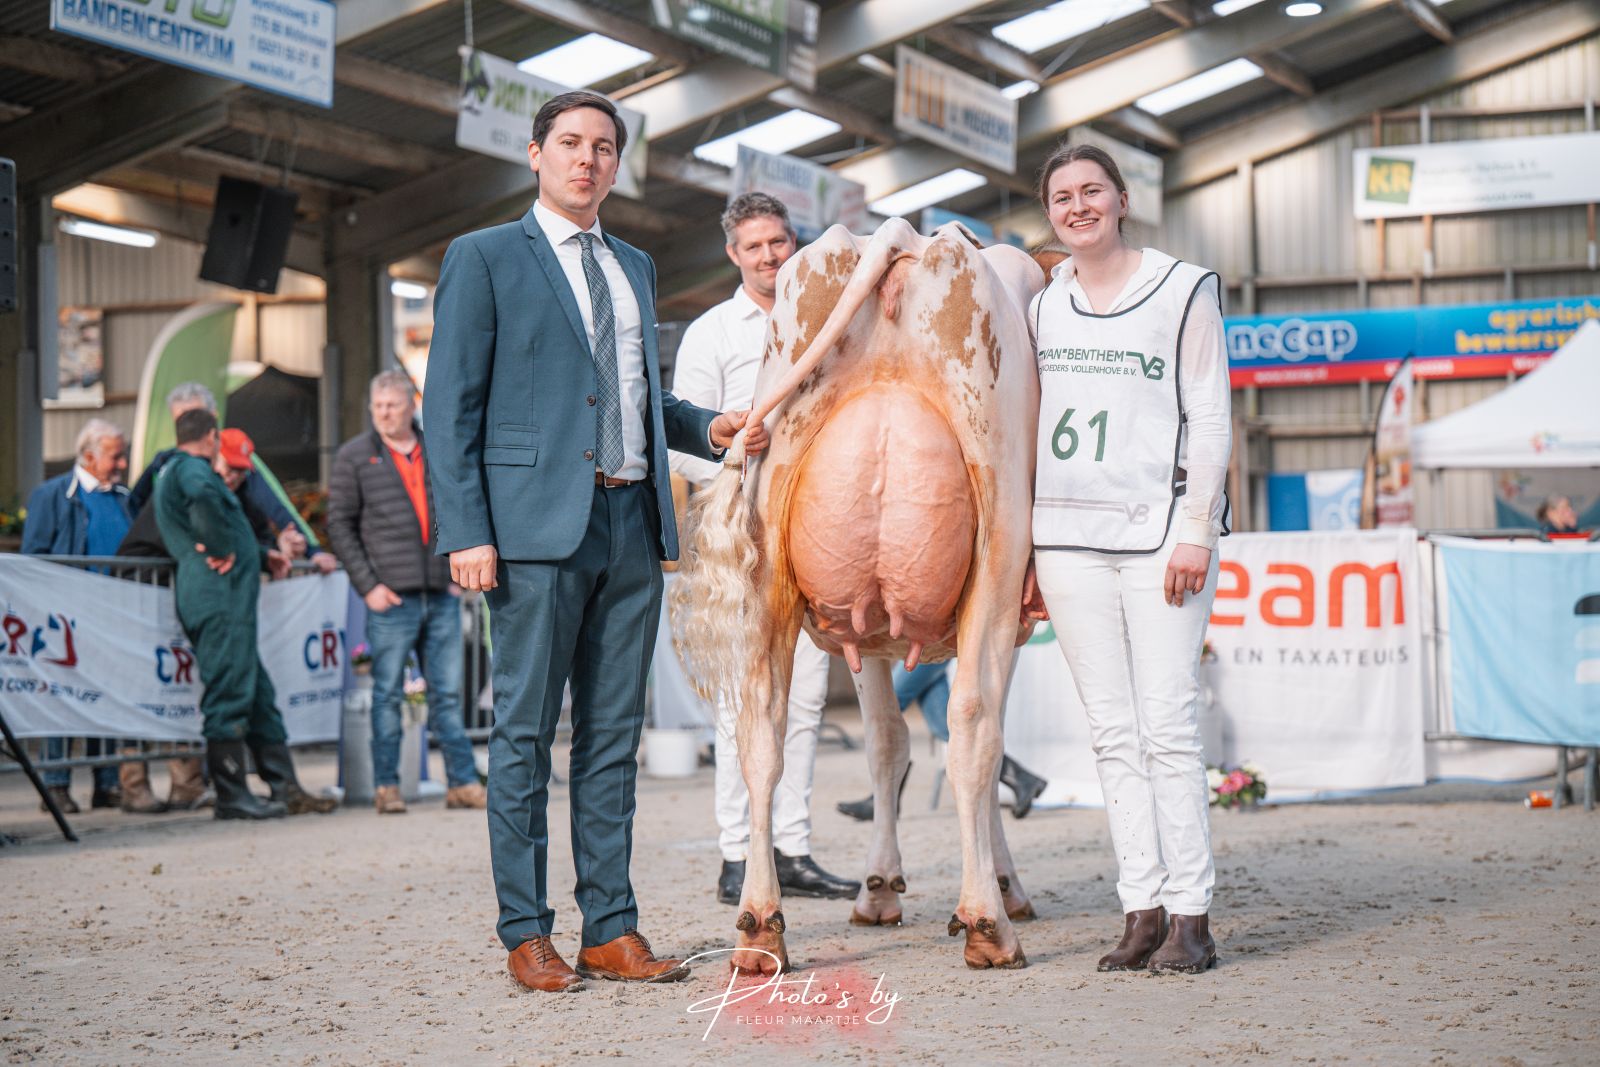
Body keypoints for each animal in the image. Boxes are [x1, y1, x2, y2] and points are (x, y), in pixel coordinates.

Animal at [671, 218, 1048, 974]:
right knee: (972, 724)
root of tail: (905, 236)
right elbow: (963, 745)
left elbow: (884, 743)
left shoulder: (868, 630)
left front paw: (878, 887)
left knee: (762, 732)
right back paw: (988, 922)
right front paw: (1002, 881)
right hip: (998, 545)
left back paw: (759, 928)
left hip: (769, 559)